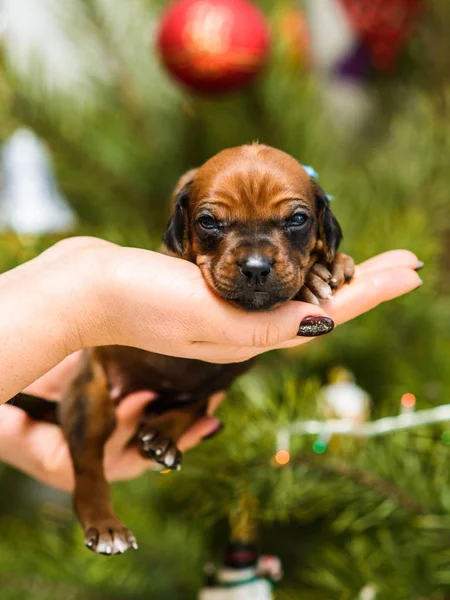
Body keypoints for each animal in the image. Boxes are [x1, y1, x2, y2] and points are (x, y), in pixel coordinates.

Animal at [12, 143, 356, 556]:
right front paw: (313, 278)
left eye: (298, 219)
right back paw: (106, 522)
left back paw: (162, 436)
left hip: (208, 389)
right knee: (89, 465)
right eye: (208, 222)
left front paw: (328, 267)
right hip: (89, 395)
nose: (256, 267)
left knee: (191, 407)